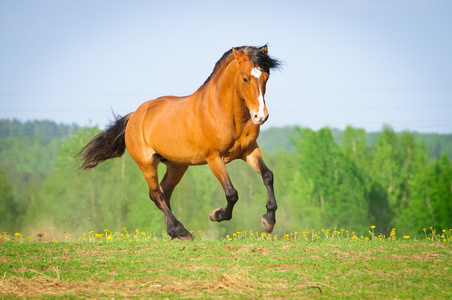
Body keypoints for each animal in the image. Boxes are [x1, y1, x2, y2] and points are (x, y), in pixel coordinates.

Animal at [79, 44, 280, 240]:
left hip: (177, 165)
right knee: (156, 194)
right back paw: (181, 231)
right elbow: (232, 194)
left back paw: (174, 232)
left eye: (266, 77)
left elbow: (268, 175)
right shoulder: (214, 158)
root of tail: (135, 115)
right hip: (147, 163)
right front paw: (216, 214)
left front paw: (268, 221)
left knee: (165, 192)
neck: (223, 111)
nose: (260, 116)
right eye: (245, 79)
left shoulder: (249, 151)